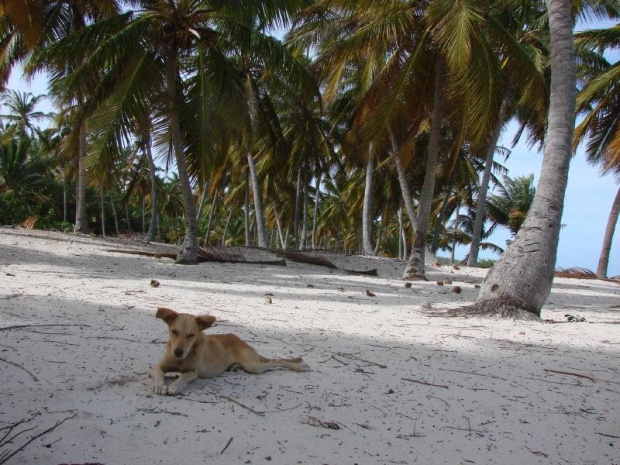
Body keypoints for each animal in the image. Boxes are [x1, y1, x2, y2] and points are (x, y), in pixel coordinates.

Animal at [150, 306, 310, 394]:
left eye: (191, 335)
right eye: (174, 332)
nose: (178, 352)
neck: (182, 360)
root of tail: (240, 340)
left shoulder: (193, 372)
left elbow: (184, 377)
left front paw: (174, 386)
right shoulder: (158, 366)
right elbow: (158, 373)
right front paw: (159, 384)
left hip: (252, 366)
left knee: (276, 361)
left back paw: (300, 367)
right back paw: (234, 367)